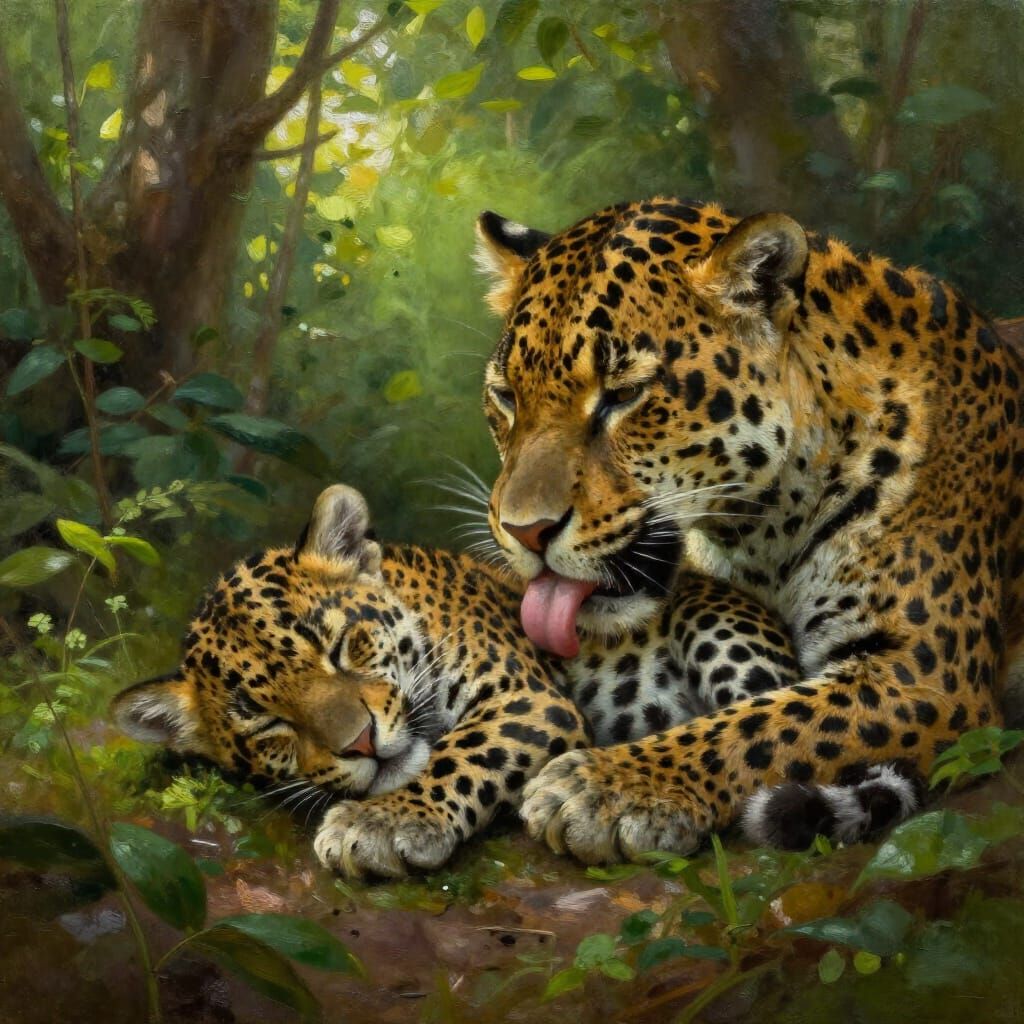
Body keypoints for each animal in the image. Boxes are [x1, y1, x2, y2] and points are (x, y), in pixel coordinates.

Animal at [473, 196, 1024, 864]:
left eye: (623, 396)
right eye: (505, 397)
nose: (525, 532)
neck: (763, 532)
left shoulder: (927, 671)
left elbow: (767, 727)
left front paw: (603, 787)